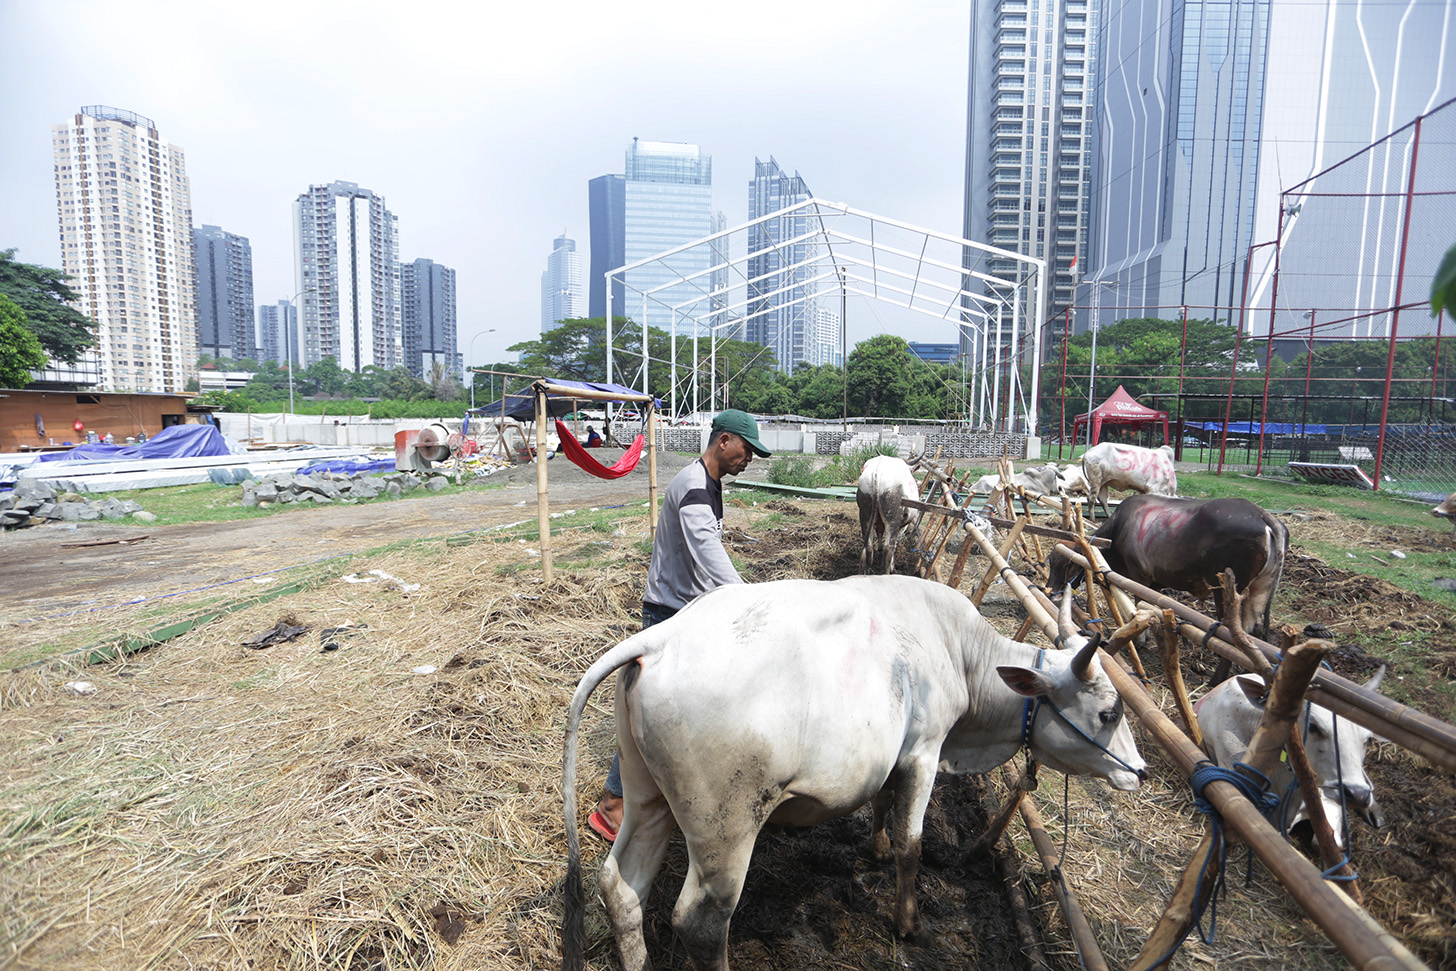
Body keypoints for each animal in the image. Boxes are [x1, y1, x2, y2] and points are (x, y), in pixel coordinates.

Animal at [562, 576, 1141, 971]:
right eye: (1109, 713)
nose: (1138, 771)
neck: (959, 653)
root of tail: (661, 639)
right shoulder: (924, 751)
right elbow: (913, 844)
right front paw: (909, 923)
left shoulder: (894, 755)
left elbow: (882, 805)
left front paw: (875, 849)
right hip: (725, 826)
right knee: (702, 921)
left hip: (648, 795)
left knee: (620, 887)